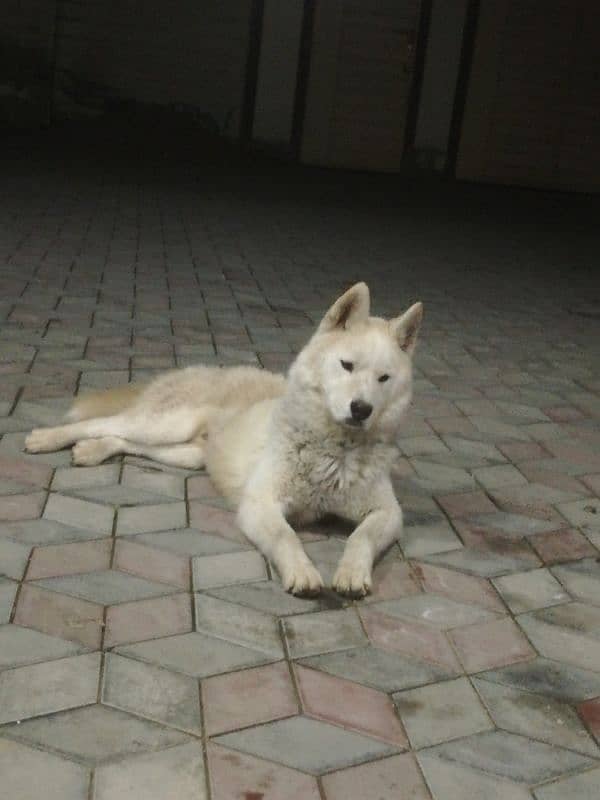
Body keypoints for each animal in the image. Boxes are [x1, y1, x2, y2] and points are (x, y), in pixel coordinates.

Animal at [25, 284, 422, 596]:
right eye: (347, 365)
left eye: (384, 378)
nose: (361, 409)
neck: (334, 451)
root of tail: (204, 367)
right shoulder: (259, 504)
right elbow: (286, 536)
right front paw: (302, 572)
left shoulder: (388, 513)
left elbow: (361, 537)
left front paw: (352, 573)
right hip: (167, 424)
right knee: (101, 423)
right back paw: (46, 438)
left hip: (185, 453)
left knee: (124, 440)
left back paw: (93, 450)